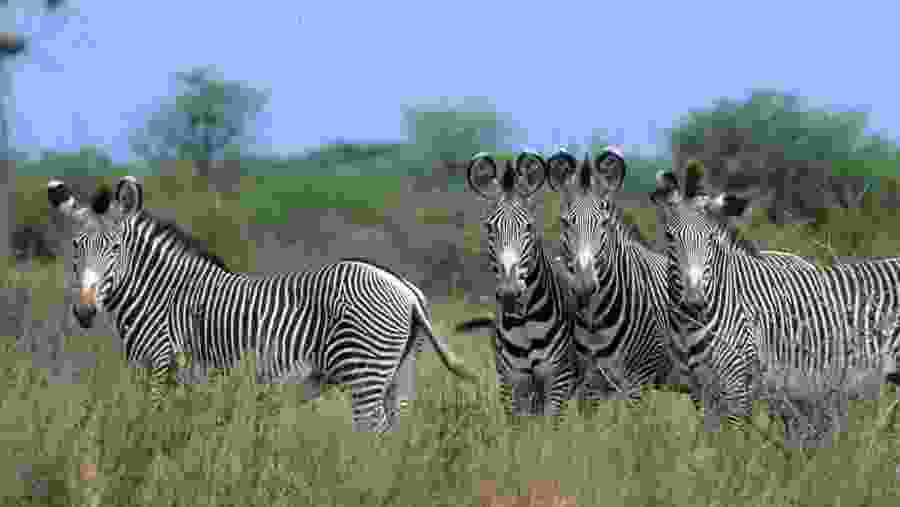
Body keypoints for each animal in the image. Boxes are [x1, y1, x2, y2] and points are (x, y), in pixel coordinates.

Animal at [47, 177, 478, 434]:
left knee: (370, 433)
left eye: (115, 248)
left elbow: (153, 427)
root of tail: (404, 288)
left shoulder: (159, 366)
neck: (162, 295)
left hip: (365, 375)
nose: (84, 312)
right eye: (76, 247)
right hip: (399, 376)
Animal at [453, 151, 579, 427]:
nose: (510, 292)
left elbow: (549, 433)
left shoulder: (558, 380)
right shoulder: (511, 384)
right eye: (489, 227)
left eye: (529, 226)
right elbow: (518, 435)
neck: (524, 322)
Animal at [650, 163, 900, 433]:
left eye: (710, 239)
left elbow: (731, 443)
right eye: (669, 237)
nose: (694, 301)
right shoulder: (700, 393)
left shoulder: (737, 388)